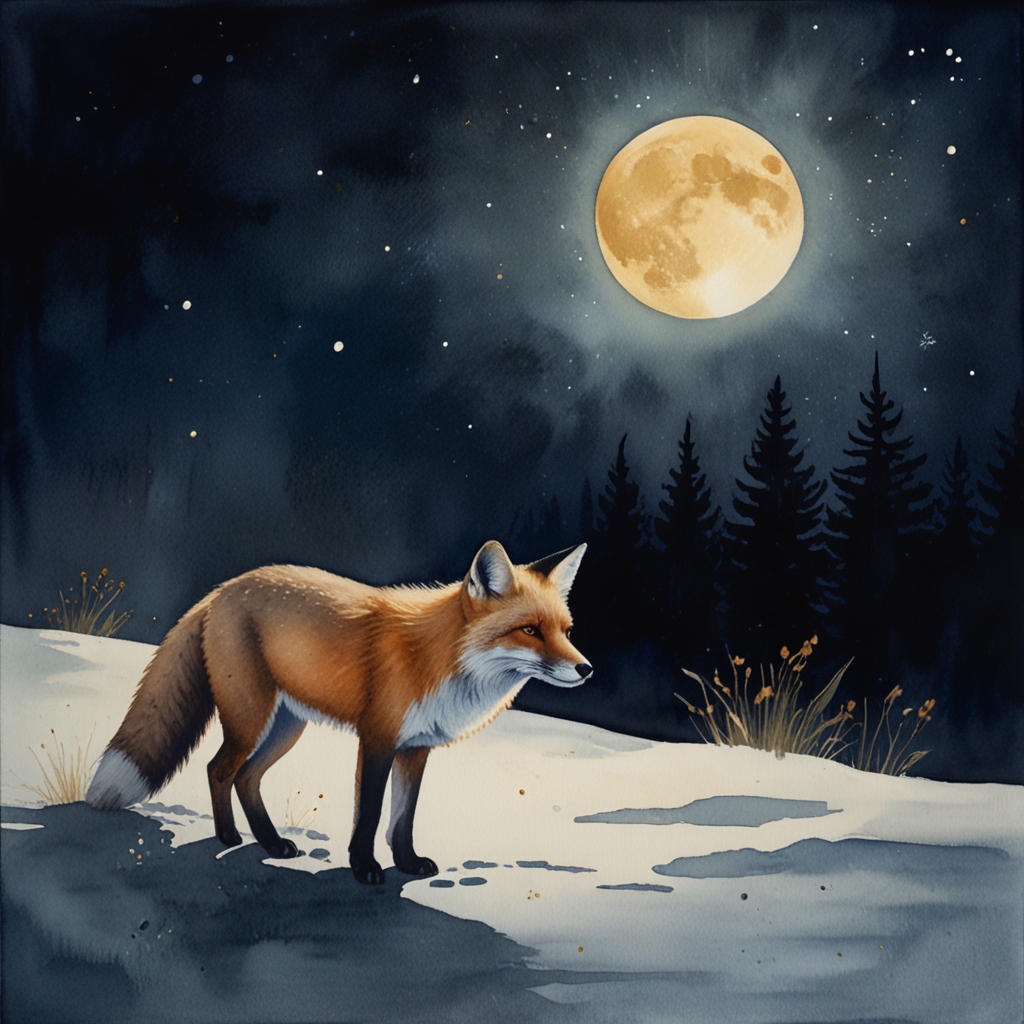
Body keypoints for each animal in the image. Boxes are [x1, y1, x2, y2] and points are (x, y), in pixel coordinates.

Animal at [85, 541, 590, 884]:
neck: (440, 659)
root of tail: (222, 589)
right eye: (530, 630)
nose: (586, 669)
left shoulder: (416, 749)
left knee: (246, 778)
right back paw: (229, 838)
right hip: (251, 720)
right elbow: (369, 813)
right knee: (217, 769)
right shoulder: (378, 739)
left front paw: (407, 864)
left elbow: (403, 818)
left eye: (566, 631)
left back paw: (271, 842)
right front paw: (364, 868)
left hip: (287, 728)